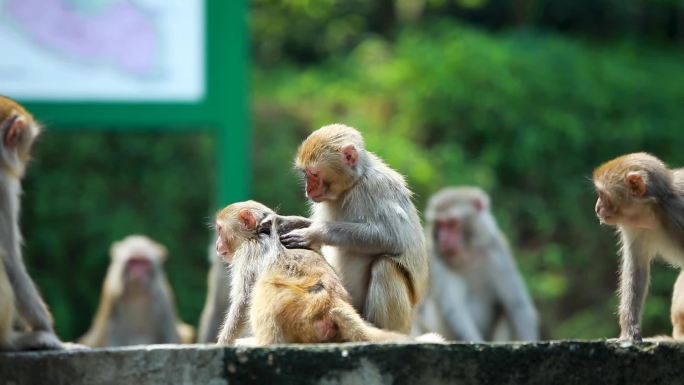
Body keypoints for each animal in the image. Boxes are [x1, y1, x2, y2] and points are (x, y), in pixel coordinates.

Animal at [212, 200, 444, 344]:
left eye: (220, 230)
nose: (216, 245)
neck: (256, 234)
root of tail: (332, 304)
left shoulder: (247, 254)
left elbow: (243, 301)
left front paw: (224, 342)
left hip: (297, 309)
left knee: (265, 290)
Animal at [278, 124, 428, 332]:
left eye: (314, 174)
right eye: (305, 174)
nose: (308, 190)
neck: (354, 183)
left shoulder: (376, 189)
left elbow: (393, 237)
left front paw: (314, 232)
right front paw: (288, 221)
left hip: (401, 321)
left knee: (385, 266)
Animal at [412, 186, 540, 340]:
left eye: (452, 223)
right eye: (439, 224)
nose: (443, 238)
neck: (468, 255)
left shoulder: (497, 250)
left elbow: (516, 304)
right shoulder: (435, 258)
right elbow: (454, 309)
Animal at [592, 152, 684, 340]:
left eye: (603, 195)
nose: (597, 208)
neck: (655, 211)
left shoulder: (678, 212)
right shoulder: (635, 227)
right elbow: (636, 269)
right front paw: (629, 331)